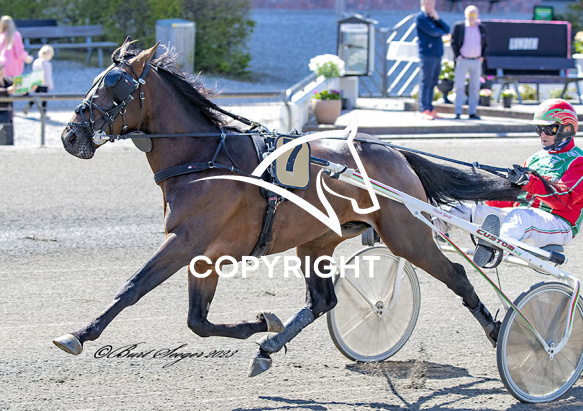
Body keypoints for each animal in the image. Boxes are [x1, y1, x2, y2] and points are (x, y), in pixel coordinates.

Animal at [55, 39, 522, 376]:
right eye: (97, 80)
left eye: (114, 85)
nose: (70, 135)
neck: (204, 157)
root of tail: (395, 152)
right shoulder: (207, 254)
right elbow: (197, 320)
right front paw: (264, 324)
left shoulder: (187, 240)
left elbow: (134, 286)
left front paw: (79, 333)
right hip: (316, 242)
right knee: (323, 301)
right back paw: (269, 347)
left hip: (406, 235)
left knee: (458, 275)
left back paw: (500, 331)